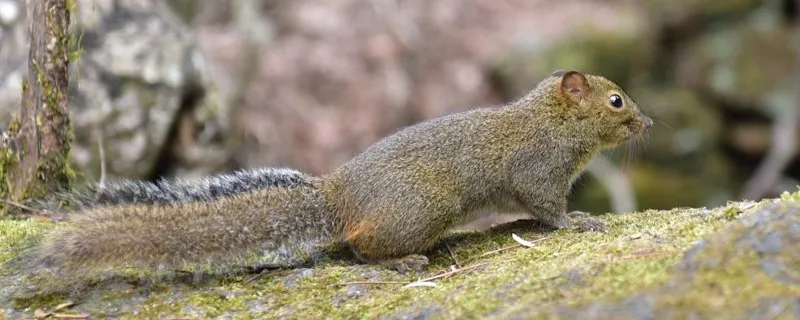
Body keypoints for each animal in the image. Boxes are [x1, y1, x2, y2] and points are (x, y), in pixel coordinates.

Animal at [15, 70, 648, 280]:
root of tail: (339, 196)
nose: (647, 122)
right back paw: (401, 261)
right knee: (360, 248)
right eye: (616, 101)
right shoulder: (539, 170)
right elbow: (547, 209)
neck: (553, 120)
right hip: (423, 210)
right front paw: (580, 223)